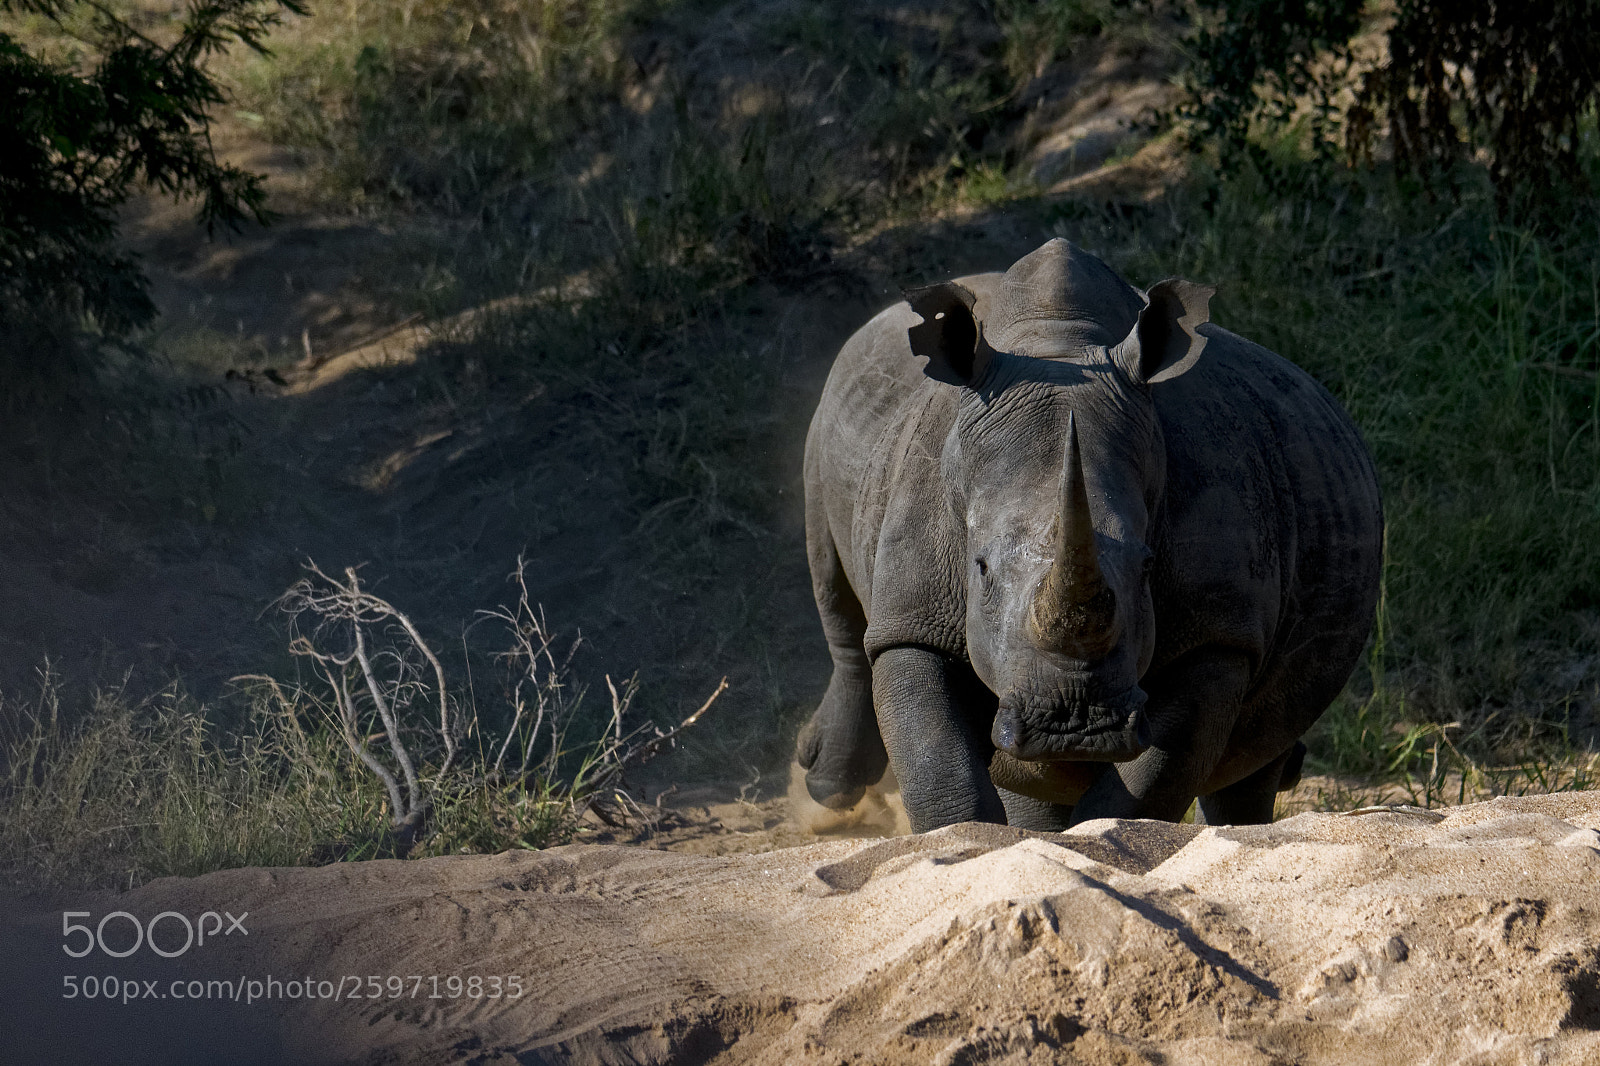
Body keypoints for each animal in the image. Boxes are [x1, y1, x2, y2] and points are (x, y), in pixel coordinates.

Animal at [796, 238, 1382, 832]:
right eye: (979, 568)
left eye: (1148, 566)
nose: (1074, 725)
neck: (1059, 344)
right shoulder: (913, 617)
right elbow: (942, 774)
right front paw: (965, 835)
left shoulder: (1221, 631)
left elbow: (1142, 792)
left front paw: (1098, 835)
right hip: (833, 424)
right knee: (836, 595)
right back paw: (829, 790)